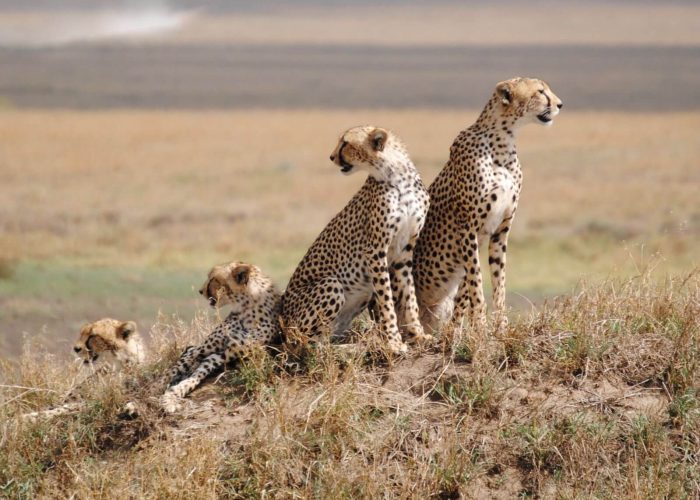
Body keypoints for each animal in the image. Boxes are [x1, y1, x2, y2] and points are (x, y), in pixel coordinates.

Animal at [161, 261, 282, 413]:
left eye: (213, 279)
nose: (200, 291)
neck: (247, 307)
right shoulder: (211, 348)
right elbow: (175, 369)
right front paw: (160, 390)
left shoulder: (226, 353)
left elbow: (198, 373)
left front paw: (176, 392)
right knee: (187, 353)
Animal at [280, 126, 432, 354]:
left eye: (345, 143)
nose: (331, 156)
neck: (397, 176)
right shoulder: (375, 250)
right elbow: (387, 301)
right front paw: (394, 342)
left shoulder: (404, 251)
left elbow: (409, 296)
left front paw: (418, 335)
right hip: (331, 284)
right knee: (304, 345)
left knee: (322, 340)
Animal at [413, 77, 563, 335]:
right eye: (540, 92)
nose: (560, 104)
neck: (503, 142)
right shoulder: (468, 229)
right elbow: (476, 282)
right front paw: (481, 327)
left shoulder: (500, 231)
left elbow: (494, 283)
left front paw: (496, 328)